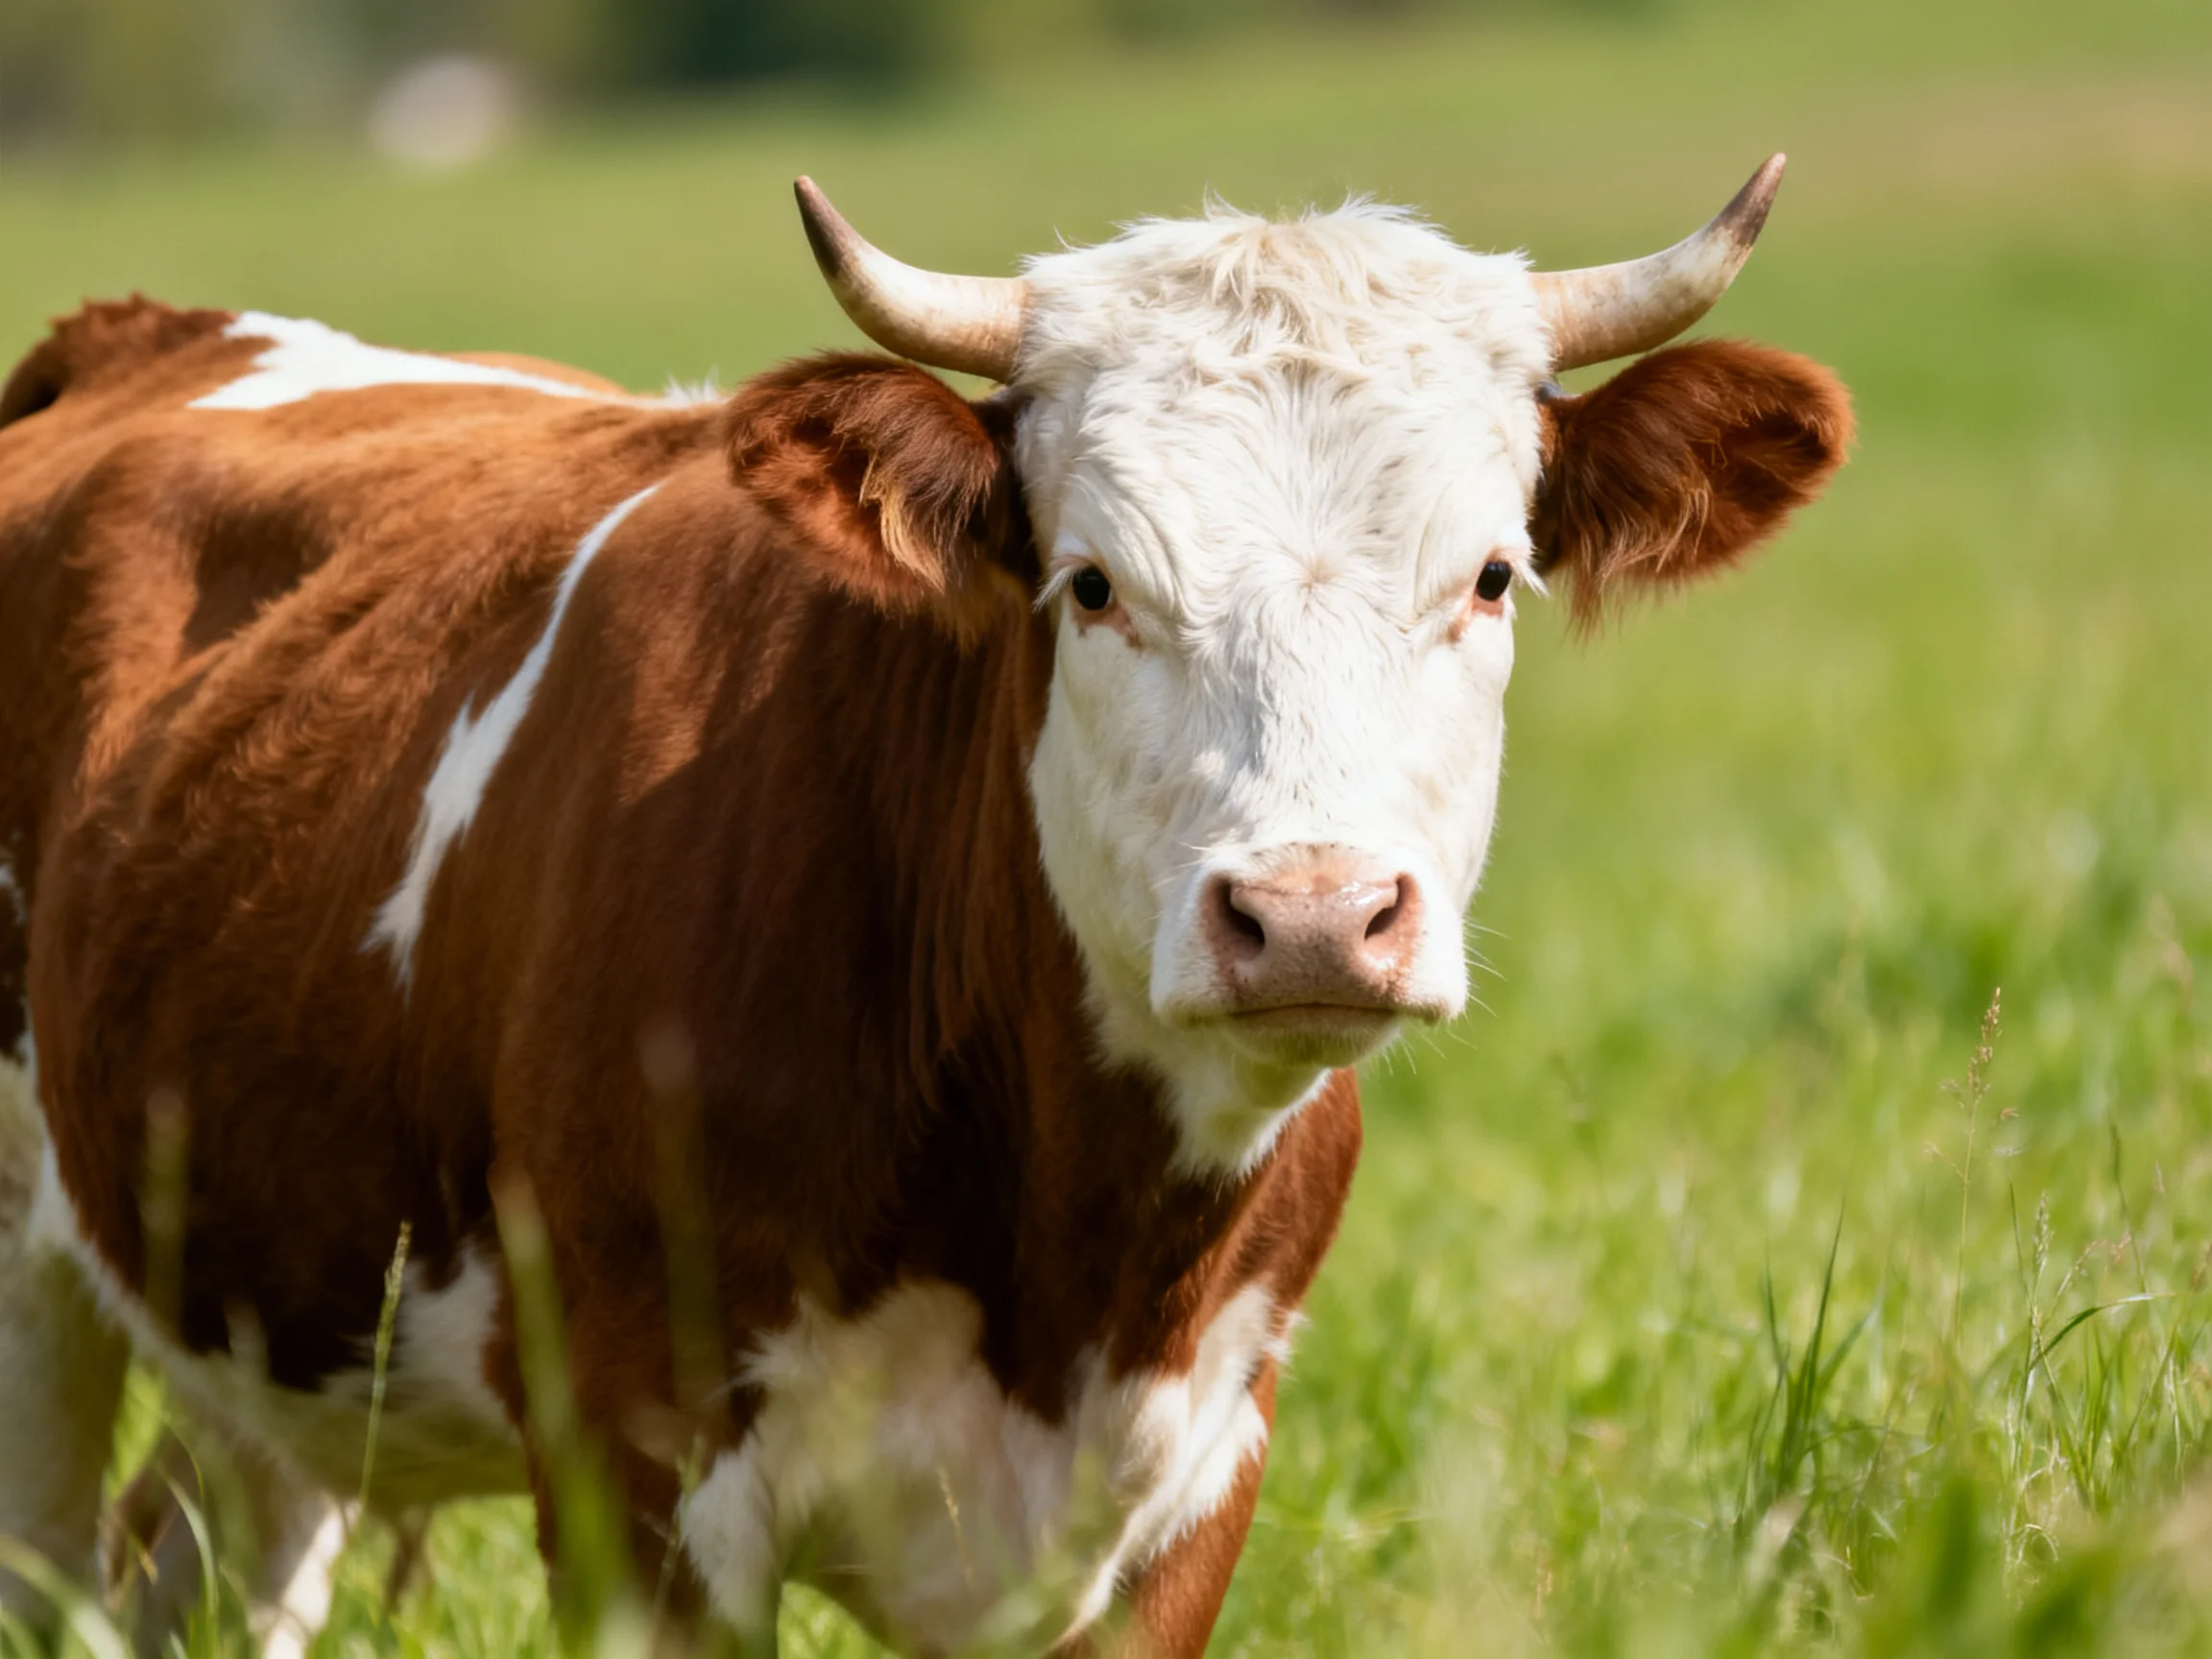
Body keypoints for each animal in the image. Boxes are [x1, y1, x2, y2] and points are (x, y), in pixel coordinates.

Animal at [0, 158, 1850, 1656]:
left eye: (1488, 577)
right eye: (1092, 584)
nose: (1315, 916)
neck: (1066, 1249)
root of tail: (144, 329)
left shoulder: (1191, 1483)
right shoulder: (636, 1468)